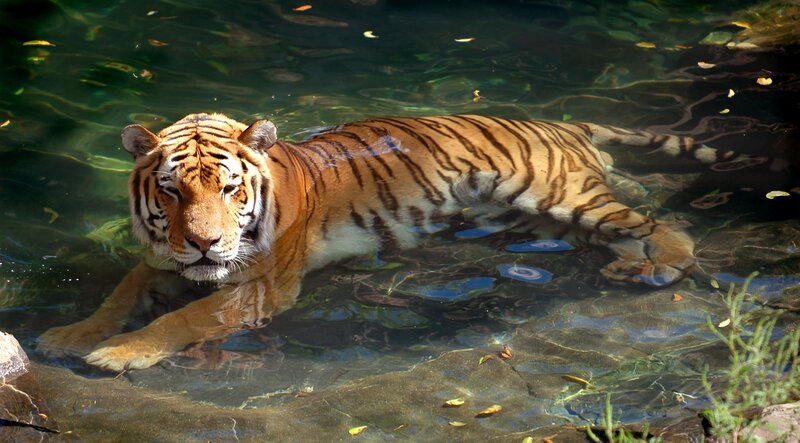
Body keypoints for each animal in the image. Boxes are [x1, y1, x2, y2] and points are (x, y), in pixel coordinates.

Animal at [37, 112, 765, 371]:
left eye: (229, 188)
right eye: (170, 192)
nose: (207, 244)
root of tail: (562, 122)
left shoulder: (262, 286)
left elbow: (185, 318)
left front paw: (120, 353)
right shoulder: (161, 258)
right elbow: (118, 296)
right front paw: (69, 336)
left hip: (558, 195)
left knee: (658, 223)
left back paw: (666, 265)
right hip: (532, 220)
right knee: (612, 234)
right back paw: (626, 270)